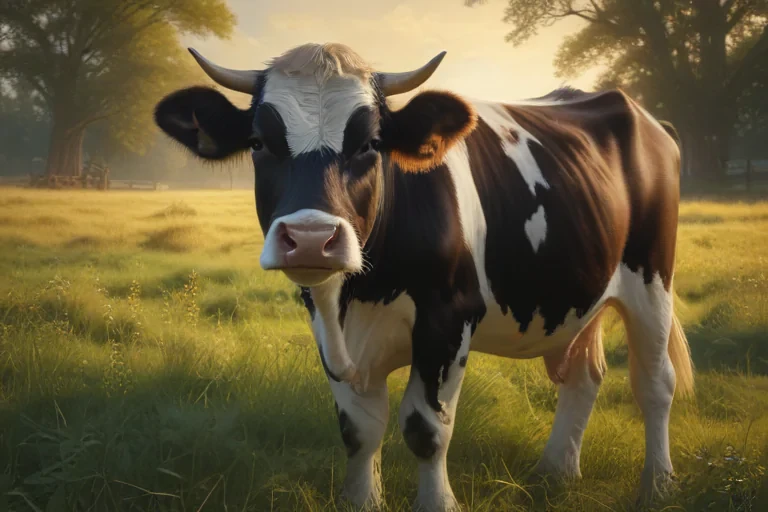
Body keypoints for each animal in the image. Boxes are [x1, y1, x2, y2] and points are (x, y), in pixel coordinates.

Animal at [154, 43, 694, 511]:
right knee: (584, 375)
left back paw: (658, 485)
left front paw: (437, 503)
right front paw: (361, 501)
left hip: (652, 281)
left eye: (371, 143)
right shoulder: (326, 325)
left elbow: (426, 429)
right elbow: (358, 428)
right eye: (259, 143)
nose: (310, 237)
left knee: (655, 384)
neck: (359, 293)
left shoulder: (448, 319)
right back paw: (555, 472)